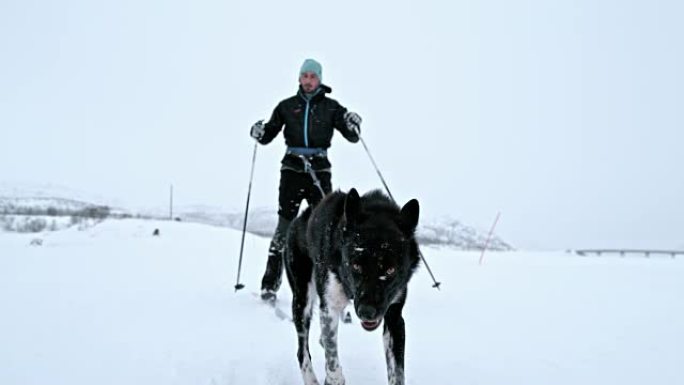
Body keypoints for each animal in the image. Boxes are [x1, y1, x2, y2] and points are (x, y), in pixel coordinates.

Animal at [284, 188, 422, 384]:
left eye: (390, 269)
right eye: (356, 265)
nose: (367, 312)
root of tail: (302, 217)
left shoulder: (394, 318)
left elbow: (397, 374)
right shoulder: (329, 308)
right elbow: (332, 360)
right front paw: (334, 378)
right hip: (302, 300)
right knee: (302, 351)